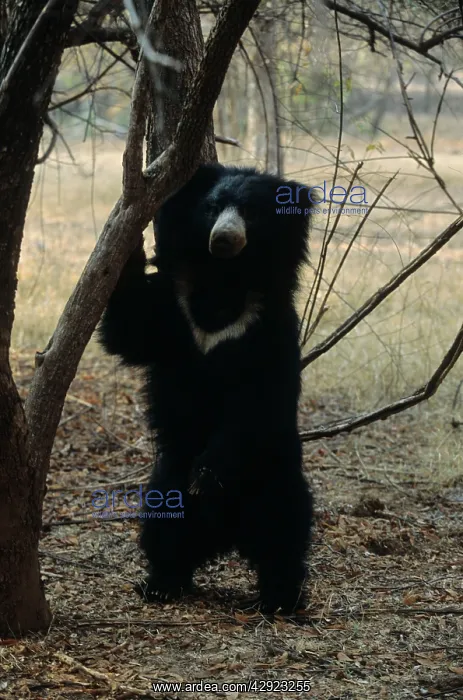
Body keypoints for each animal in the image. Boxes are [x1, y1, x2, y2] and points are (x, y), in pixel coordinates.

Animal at [99, 163, 314, 613]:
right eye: (212, 208)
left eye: (250, 212)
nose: (224, 239)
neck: (224, 280)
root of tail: (225, 532)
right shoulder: (173, 309)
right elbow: (129, 329)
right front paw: (129, 242)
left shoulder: (269, 327)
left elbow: (257, 403)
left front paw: (207, 475)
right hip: (167, 475)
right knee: (164, 525)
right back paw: (163, 582)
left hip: (273, 472)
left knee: (283, 529)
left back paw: (281, 597)